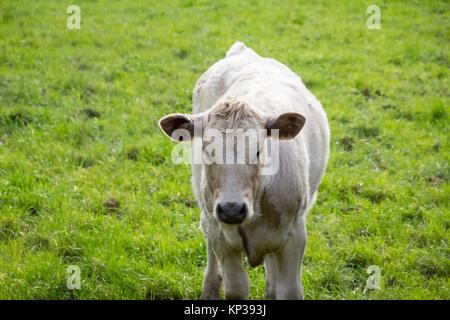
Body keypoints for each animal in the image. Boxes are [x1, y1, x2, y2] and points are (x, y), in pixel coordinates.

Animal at [160, 42, 328, 300]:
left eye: (259, 150)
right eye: (207, 150)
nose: (231, 208)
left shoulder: (295, 236)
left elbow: (289, 290)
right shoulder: (221, 238)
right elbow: (236, 287)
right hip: (207, 213)